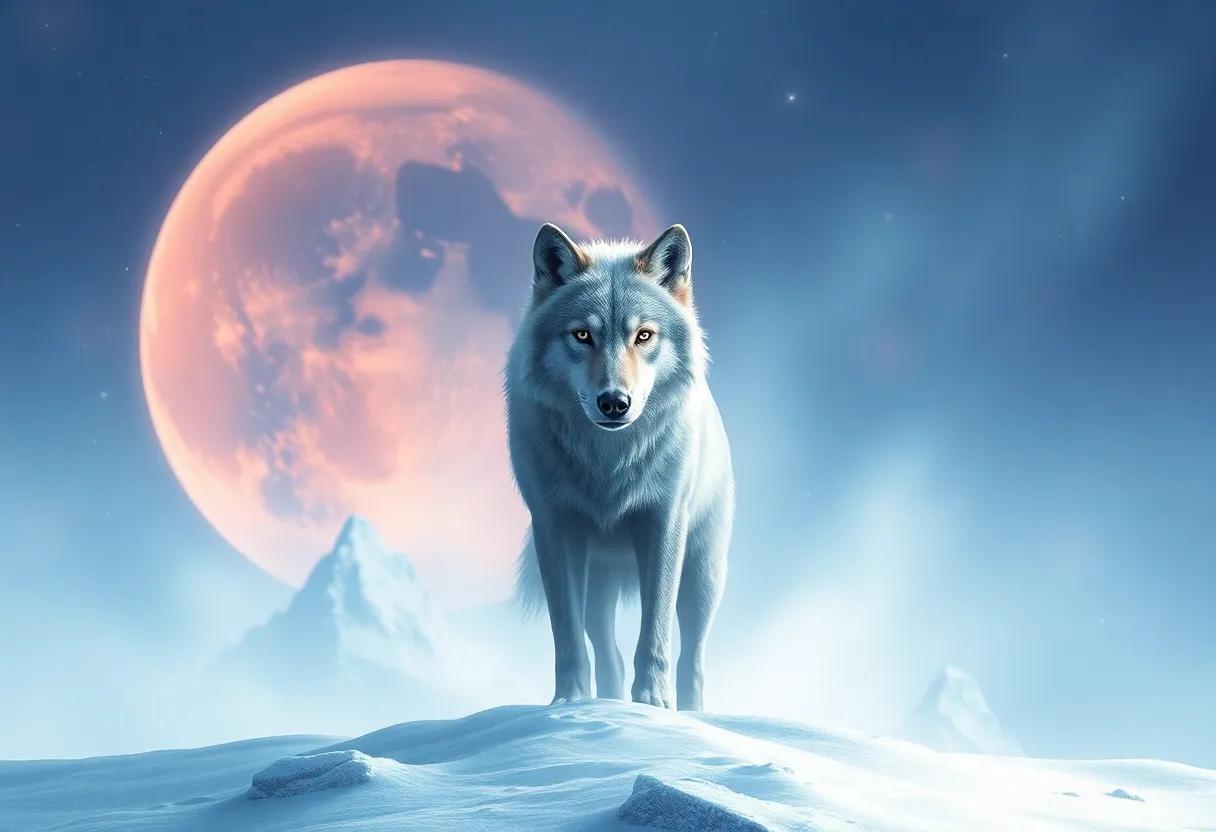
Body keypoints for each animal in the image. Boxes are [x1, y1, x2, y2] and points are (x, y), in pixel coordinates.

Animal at [506, 222, 734, 710]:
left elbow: (655, 634)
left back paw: (690, 712)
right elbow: (568, 638)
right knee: (607, 652)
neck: (607, 462)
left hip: (702, 578)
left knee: (693, 659)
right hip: (600, 588)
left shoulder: (664, 524)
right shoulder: (554, 527)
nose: (614, 402)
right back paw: (607, 705)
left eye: (643, 336)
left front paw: (652, 703)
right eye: (582, 335)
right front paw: (568, 703)